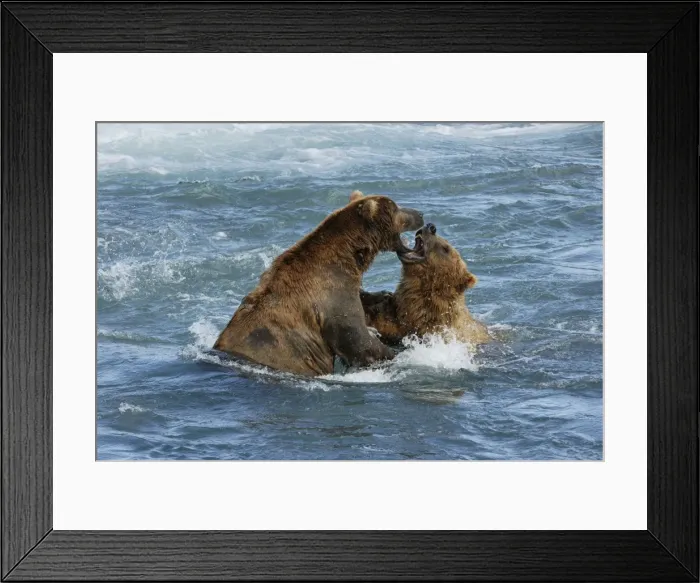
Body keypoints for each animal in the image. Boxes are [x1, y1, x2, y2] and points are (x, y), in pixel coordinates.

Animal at [213, 191, 425, 377]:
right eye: (396, 208)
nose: (420, 214)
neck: (348, 257)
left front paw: (382, 295)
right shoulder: (332, 296)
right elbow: (357, 340)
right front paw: (395, 353)